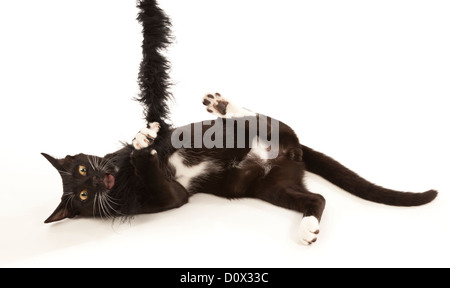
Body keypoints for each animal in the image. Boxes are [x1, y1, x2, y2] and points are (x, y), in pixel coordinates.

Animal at [41, 0, 436, 245]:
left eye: (80, 170)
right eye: (82, 194)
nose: (95, 179)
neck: (121, 179)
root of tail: (292, 153)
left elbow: (154, 135)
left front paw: (146, 133)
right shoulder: (171, 195)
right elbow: (156, 173)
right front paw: (142, 145)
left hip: (264, 132)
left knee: (266, 118)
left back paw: (221, 104)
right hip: (272, 187)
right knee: (317, 197)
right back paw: (307, 229)